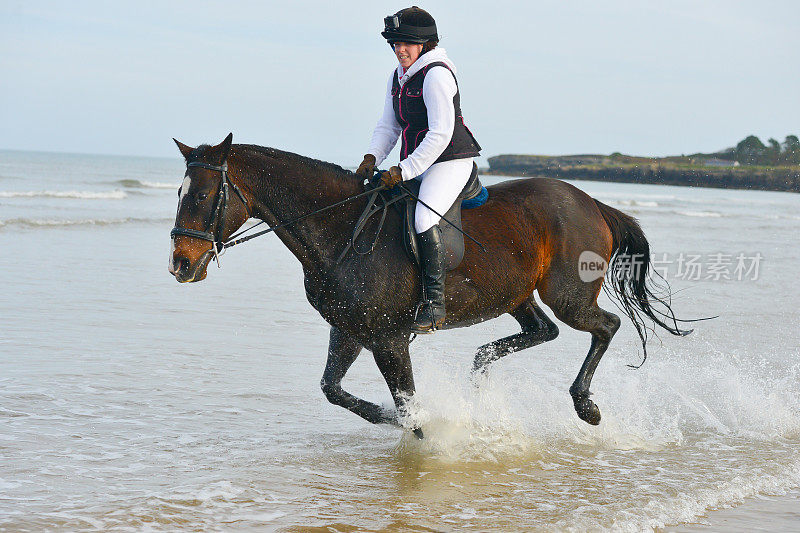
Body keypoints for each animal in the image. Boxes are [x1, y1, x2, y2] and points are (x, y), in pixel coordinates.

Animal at [170, 134, 692, 436]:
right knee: (542, 332)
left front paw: (422, 432)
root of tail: (592, 202)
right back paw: (481, 382)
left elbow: (406, 405)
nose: (180, 264)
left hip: (567, 294)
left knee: (604, 326)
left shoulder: (389, 339)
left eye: (203, 195)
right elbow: (334, 390)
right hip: (516, 294)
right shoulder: (351, 330)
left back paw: (586, 406)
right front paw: (396, 419)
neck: (343, 229)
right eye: (179, 192)